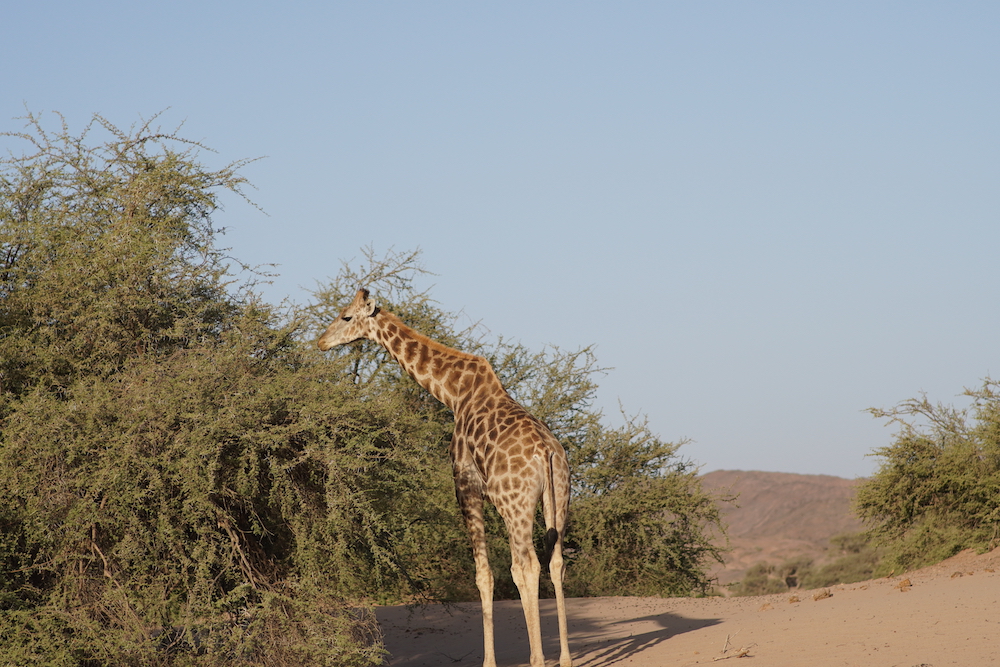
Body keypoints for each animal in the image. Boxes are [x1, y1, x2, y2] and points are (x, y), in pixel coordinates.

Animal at [318, 288, 572, 667]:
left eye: (346, 316)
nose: (321, 342)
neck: (453, 393)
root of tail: (546, 453)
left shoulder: (465, 484)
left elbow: (483, 575)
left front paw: (488, 662)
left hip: (514, 504)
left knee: (525, 566)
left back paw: (538, 659)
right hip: (560, 495)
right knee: (555, 562)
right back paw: (566, 659)